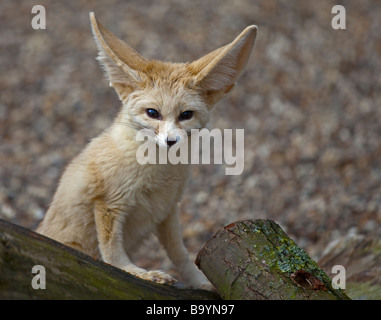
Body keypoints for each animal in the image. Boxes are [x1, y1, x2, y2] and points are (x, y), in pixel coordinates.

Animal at [36, 12, 255, 288]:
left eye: (186, 115)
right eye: (153, 113)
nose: (171, 141)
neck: (158, 171)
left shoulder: (168, 209)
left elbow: (180, 253)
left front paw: (200, 283)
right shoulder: (108, 204)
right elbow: (112, 254)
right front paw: (138, 273)